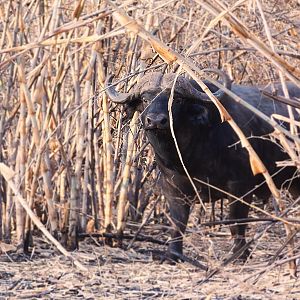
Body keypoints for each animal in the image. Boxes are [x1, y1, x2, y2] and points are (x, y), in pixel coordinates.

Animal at [105, 69, 300, 260]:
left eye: (177, 99)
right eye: (145, 99)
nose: (155, 121)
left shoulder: (241, 187)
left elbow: (235, 222)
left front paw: (239, 254)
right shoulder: (172, 188)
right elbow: (178, 223)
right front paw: (172, 254)